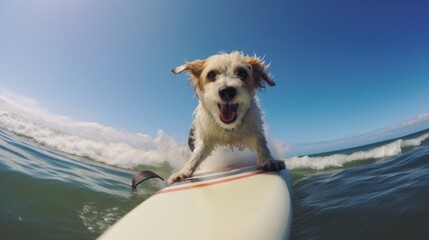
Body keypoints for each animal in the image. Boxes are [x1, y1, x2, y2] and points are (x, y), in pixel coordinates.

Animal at [169, 51, 286, 183]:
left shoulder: (253, 129)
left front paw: (268, 160)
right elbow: (197, 154)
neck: (229, 128)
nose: (227, 91)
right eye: (211, 74)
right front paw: (184, 171)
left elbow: (261, 144)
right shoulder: (205, 138)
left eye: (242, 73)